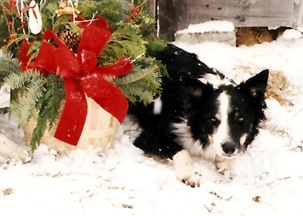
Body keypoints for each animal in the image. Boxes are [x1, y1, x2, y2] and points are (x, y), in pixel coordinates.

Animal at [129, 44, 270, 187]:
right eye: (212, 119)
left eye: (241, 118)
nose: (229, 149)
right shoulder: (150, 135)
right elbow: (182, 151)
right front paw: (191, 174)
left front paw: (225, 163)